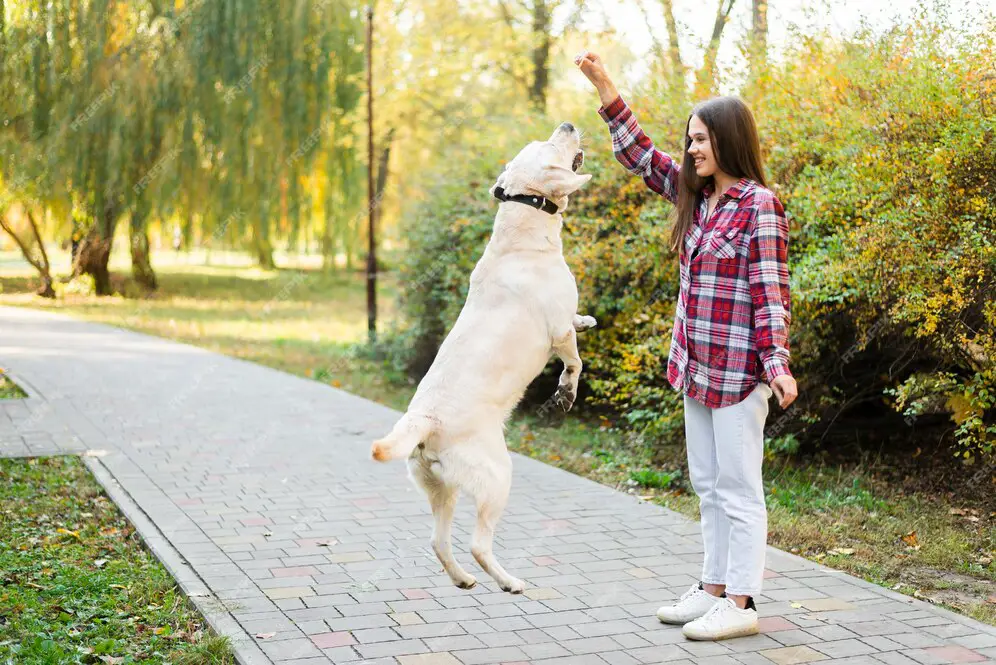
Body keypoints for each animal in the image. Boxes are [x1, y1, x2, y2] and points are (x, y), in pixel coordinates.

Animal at [372, 120, 592, 592]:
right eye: (550, 145)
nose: (567, 123)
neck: (524, 228)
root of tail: (424, 421)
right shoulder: (557, 331)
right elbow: (574, 362)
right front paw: (564, 394)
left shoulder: (565, 322)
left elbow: (578, 323)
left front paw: (588, 320)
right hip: (497, 476)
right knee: (477, 543)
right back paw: (509, 582)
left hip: (442, 488)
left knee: (438, 541)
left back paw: (464, 580)